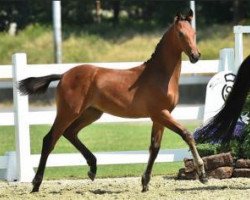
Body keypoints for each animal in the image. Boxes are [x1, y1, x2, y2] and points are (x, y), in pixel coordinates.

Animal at [19, 10, 207, 193]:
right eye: (181, 33)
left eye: (194, 33)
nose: (195, 56)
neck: (159, 74)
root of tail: (64, 75)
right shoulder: (160, 113)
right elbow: (187, 134)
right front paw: (202, 174)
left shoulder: (159, 117)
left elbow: (154, 147)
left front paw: (145, 182)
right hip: (67, 112)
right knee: (49, 140)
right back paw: (36, 183)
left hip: (92, 113)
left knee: (70, 133)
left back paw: (92, 168)